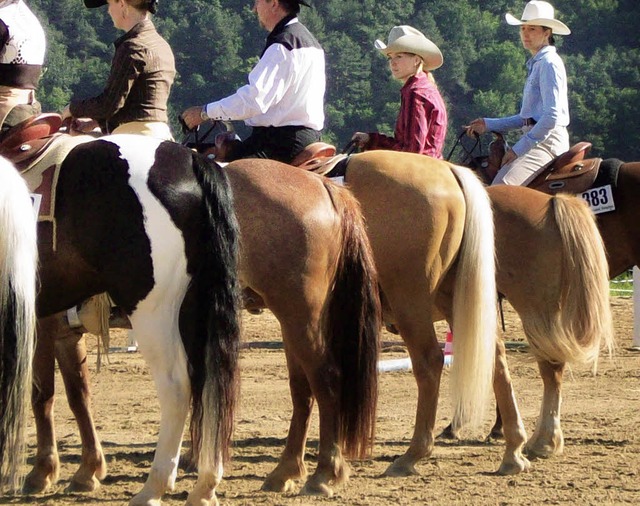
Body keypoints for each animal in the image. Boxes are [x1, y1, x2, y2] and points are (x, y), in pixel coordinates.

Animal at [23, 135, 380, 502]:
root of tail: (324, 186)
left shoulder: (41, 323)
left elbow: (42, 394)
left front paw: (43, 472)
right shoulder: (62, 330)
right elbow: (77, 394)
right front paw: (86, 470)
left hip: (294, 313)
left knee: (323, 378)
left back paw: (325, 473)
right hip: (290, 318)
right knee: (301, 388)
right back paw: (284, 472)